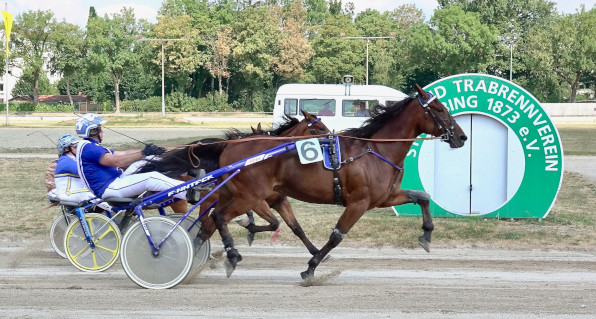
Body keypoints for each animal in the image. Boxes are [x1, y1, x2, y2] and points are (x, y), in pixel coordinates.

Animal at [189, 84, 468, 278]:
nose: (462, 137)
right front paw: (311, 268)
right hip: (250, 196)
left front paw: (427, 235)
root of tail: (230, 147)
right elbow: (336, 236)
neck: (377, 149)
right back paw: (231, 256)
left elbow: (422, 197)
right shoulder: (359, 202)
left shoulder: (384, 197)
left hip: (233, 193)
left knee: (208, 224)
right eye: (440, 109)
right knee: (219, 218)